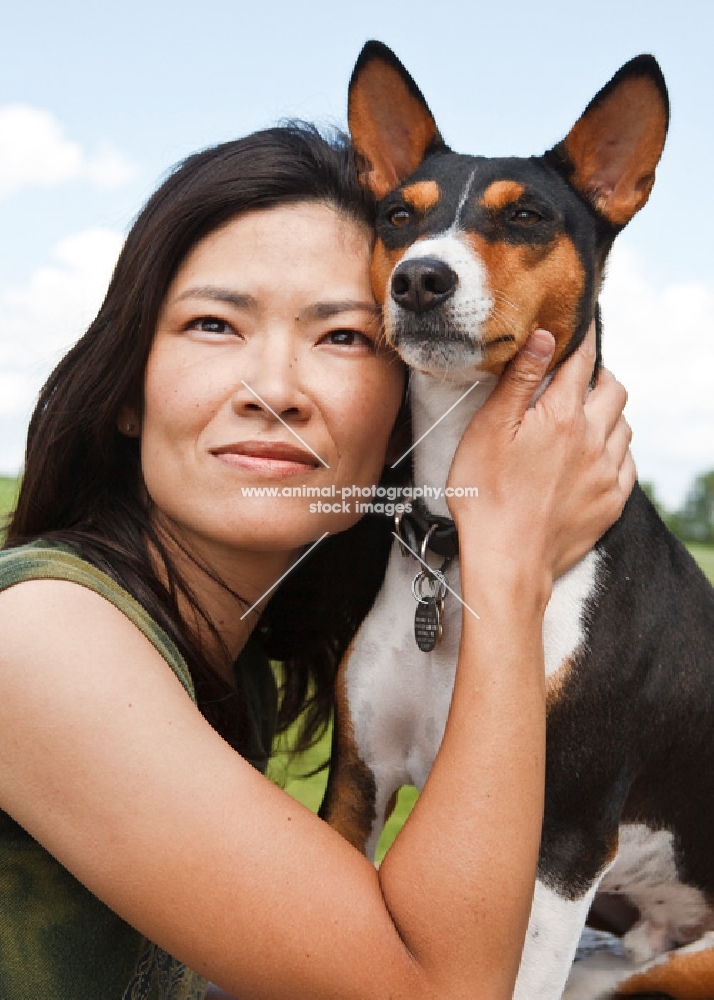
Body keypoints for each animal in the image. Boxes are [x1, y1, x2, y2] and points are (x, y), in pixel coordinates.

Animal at [320, 41, 712, 1000]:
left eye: (527, 216)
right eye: (397, 215)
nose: (420, 277)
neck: (461, 548)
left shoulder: (563, 837)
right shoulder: (357, 786)